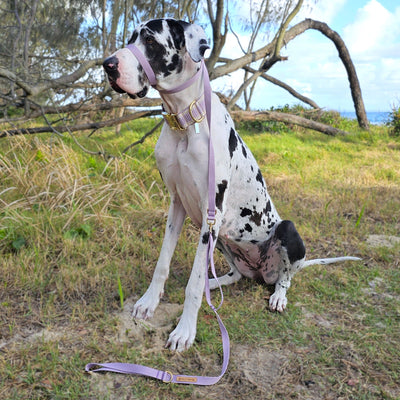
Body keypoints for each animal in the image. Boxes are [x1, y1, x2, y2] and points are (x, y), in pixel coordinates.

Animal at [103, 18, 360, 352]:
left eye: (149, 39)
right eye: (130, 37)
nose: (107, 65)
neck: (186, 121)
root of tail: (262, 271)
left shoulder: (211, 213)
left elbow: (194, 284)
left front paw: (185, 331)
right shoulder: (177, 205)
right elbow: (163, 263)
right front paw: (148, 302)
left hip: (284, 231)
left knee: (286, 277)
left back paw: (277, 295)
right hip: (224, 238)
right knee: (234, 275)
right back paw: (216, 284)